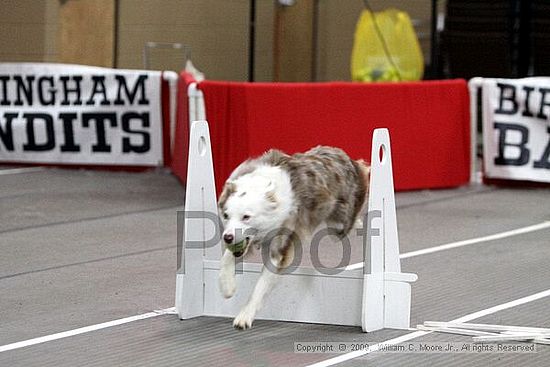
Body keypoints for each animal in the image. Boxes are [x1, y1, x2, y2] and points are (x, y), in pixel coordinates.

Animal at [217, 147, 370, 330]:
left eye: (246, 217)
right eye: (226, 215)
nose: (227, 237)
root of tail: (342, 154)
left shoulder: (279, 250)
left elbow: (259, 288)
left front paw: (244, 316)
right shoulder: (244, 242)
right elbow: (226, 258)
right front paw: (227, 286)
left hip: (338, 224)